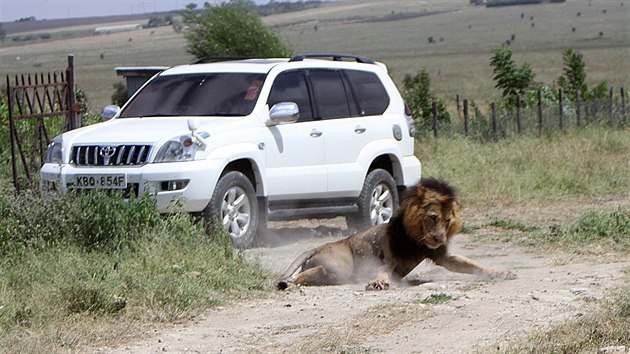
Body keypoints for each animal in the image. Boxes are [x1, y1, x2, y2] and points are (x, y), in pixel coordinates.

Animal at [278, 177, 516, 290]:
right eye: (433, 218)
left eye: (448, 221)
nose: (439, 238)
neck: (417, 239)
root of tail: (316, 247)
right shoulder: (388, 257)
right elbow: (382, 271)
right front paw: (379, 283)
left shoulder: (442, 256)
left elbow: (473, 265)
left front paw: (502, 273)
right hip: (339, 266)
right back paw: (290, 281)